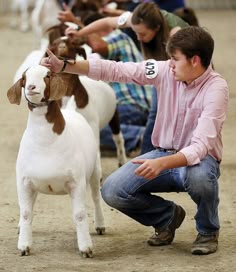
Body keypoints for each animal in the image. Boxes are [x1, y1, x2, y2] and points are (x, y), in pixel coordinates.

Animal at [7, 64, 105, 258]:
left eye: (47, 75)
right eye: (24, 78)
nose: (31, 87)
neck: (46, 143)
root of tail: (72, 111)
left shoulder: (76, 182)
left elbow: (80, 214)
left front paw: (86, 248)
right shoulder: (24, 181)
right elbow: (26, 212)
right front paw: (24, 246)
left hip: (94, 171)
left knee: (96, 197)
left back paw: (100, 225)